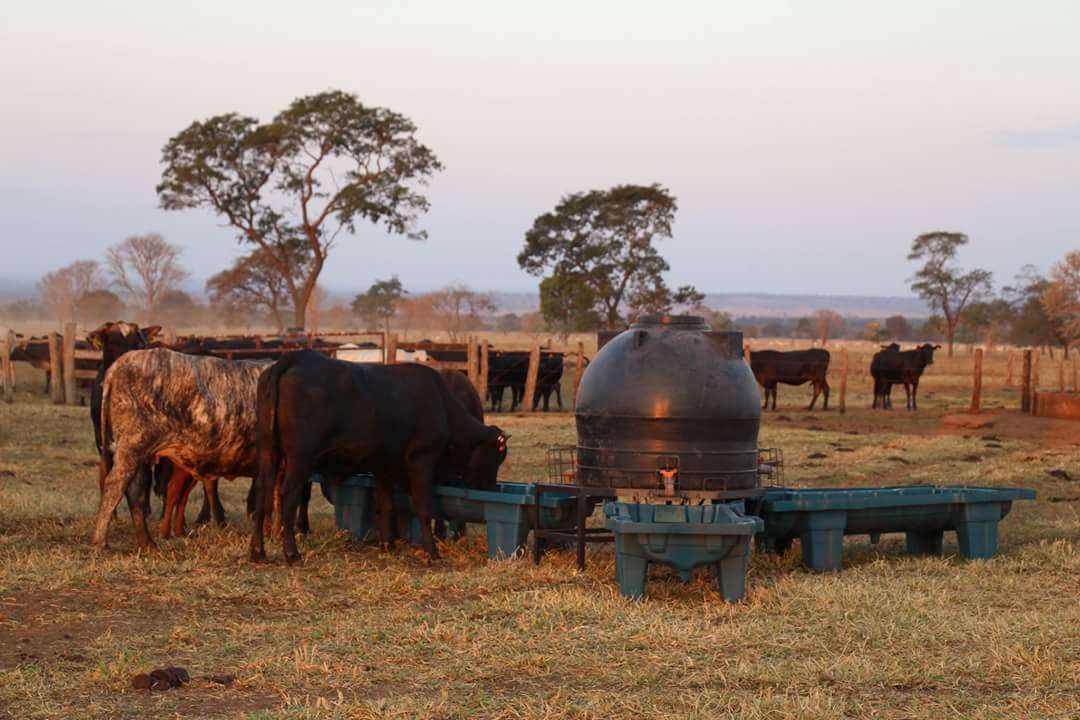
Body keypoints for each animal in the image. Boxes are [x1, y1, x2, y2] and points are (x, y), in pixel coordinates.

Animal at [92, 349, 270, 552]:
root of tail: (122, 361)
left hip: (140, 455)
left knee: (135, 491)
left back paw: (147, 542)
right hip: (132, 446)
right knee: (115, 485)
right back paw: (101, 542)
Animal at [250, 351, 507, 565]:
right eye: (497, 457)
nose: (492, 489)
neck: (442, 407)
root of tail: (296, 358)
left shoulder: (383, 467)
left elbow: (386, 504)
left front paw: (387, 545)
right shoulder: (421, 463)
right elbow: (424, 508)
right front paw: (432, 553)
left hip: (269, 453)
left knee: (263, 494)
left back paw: (258, 552)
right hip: (300, 460)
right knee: (289, 496)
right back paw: (291, 553)